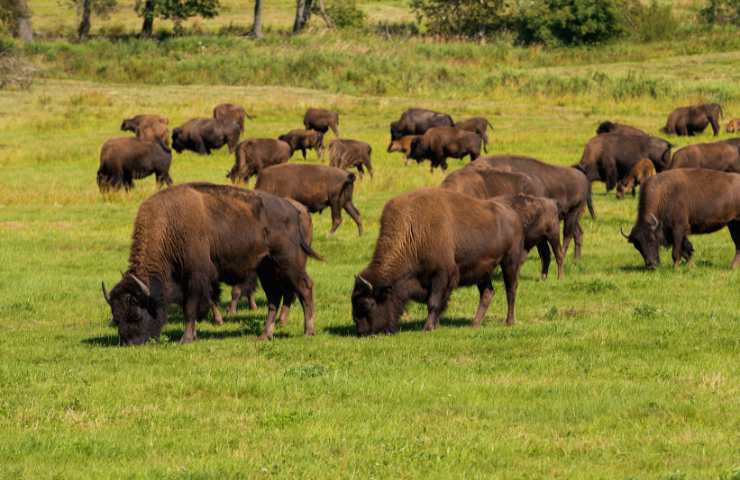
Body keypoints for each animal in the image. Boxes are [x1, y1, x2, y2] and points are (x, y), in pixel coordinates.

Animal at [102, 182, 322, 344]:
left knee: (305, 289)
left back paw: (307, 331)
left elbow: (191, 308)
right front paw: (194, 334)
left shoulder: (195, 277)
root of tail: (294, 210)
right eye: (116, 317)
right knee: (274, 299)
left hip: (289, 264)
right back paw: (264, 335)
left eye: (136, 314)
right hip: (266, 270)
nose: (130, 342)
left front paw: (186, 338)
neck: (169, 228)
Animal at [352, 187, 528, 334]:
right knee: (487, 293)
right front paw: (435, 325)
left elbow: (434, 302)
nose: (361, 332)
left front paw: (428, 327)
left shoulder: (441, 275)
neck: (412, 230)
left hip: (510, 261)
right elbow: (437, 302)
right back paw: (474, 324)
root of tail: (513, 215)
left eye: (368, 304)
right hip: (482, 271)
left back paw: (509, 322)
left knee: (511, 290)